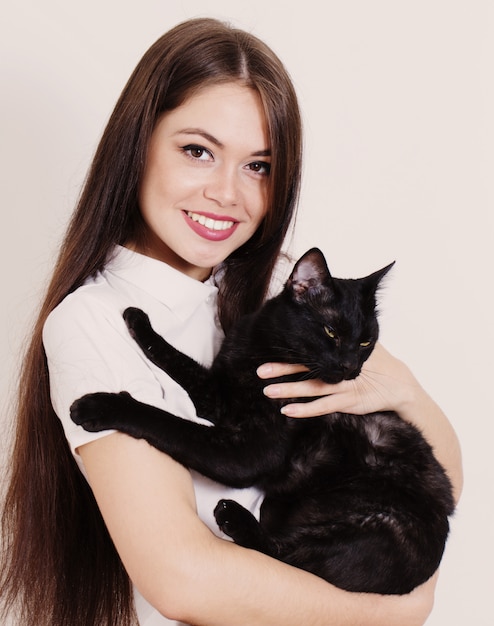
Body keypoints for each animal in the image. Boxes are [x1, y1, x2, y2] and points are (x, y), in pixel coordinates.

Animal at [71, 246, 454, 592]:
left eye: (365, 342)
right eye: (331, 332)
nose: (350, 367)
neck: (261, 351)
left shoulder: (249, 452)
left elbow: (167, 423)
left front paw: (98, 406)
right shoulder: (216, 396)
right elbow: (179, 360)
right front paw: (139, 321)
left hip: (373, 526)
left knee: (287, 559)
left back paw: (234, 517)